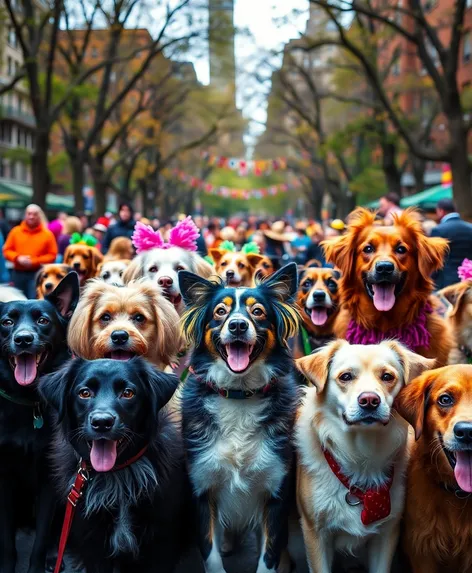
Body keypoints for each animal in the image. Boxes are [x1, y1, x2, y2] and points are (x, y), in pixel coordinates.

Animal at [0, 272, 79, 572]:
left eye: (43, 321)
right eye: (6, 322)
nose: (23, 339)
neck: (27, 403)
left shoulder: (49, 477)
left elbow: (44, 535)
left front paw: (38, 562)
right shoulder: (4, 476)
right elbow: (6, 537)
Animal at [38, 358, 189, 572]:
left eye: (128, 393)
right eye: (84, 393)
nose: (102, 422)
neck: (117, 475)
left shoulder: (162, 541)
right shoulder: (92, 544)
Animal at [179, 264, 300, 572]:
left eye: (257, 311)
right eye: (220, 311)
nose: (237, 325)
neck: (239, 396)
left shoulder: (276, 493)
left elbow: (269, 555)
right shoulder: (202, 488)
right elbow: (210, 553)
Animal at [296, 340, 436, 572]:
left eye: (387, 376)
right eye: (345, 377)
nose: (369, 400)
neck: (361, 453)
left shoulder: (387, 533)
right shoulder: (315, 534)